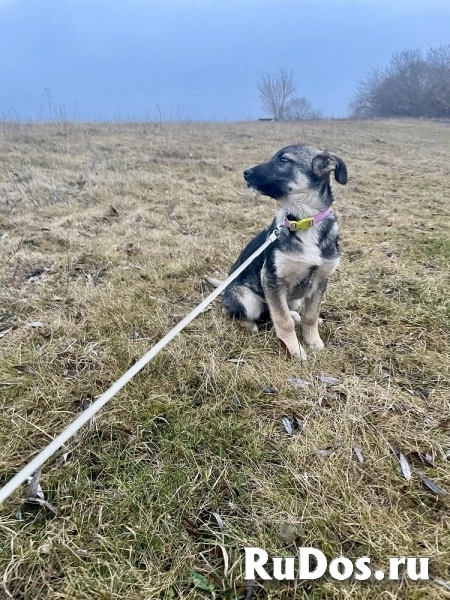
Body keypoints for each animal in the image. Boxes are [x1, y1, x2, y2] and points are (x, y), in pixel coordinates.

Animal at [207, 144, 348, 360]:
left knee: (287, 309)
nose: (245, 173)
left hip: (294, 299)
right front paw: (294, 349)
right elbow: (282, 320)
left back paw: (294, 314)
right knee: (237, 312)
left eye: (284, 160)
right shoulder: (272, 278)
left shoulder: (320, 280)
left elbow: (311, 315)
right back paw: (251, 325)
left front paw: (313, 341)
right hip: (247, 299)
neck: (303, 220)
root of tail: (226, 288)